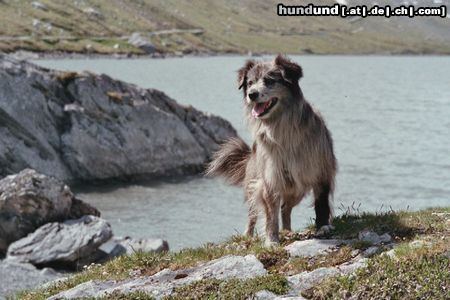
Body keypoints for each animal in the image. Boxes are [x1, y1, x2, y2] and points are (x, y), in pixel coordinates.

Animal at [206, 54, 336, 246]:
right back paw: (249, 234)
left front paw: (323, 226)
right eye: (250, 83)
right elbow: (270, 214)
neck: (281, 126)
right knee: (254, 213)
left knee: (285, 208)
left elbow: (321, 203)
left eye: (270, 81)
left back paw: (288, 230)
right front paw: (272, 239)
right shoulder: (270, 178)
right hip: (255, 182)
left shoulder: (320, 170)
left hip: (296, 189)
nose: (252, 94)